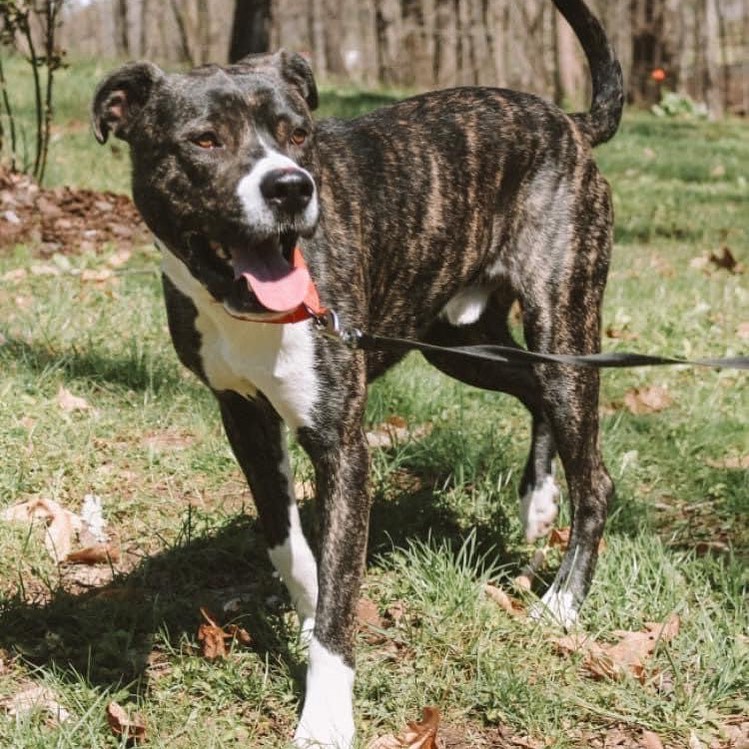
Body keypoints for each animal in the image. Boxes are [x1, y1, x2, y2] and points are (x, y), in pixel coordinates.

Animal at [90, 2, 624, 744]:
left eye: (296, 133)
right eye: (204, 140)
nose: (290, 185)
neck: (246, 303)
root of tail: (568, 122)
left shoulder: (341, 446)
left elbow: (343, 590)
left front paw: (324, 713)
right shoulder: (245, 418)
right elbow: (288, 543)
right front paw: (306, 611)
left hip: (561, 314)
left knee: (593, 473)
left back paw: (563, 601)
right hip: (461, 344)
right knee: (534, 389)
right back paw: (537, 499)